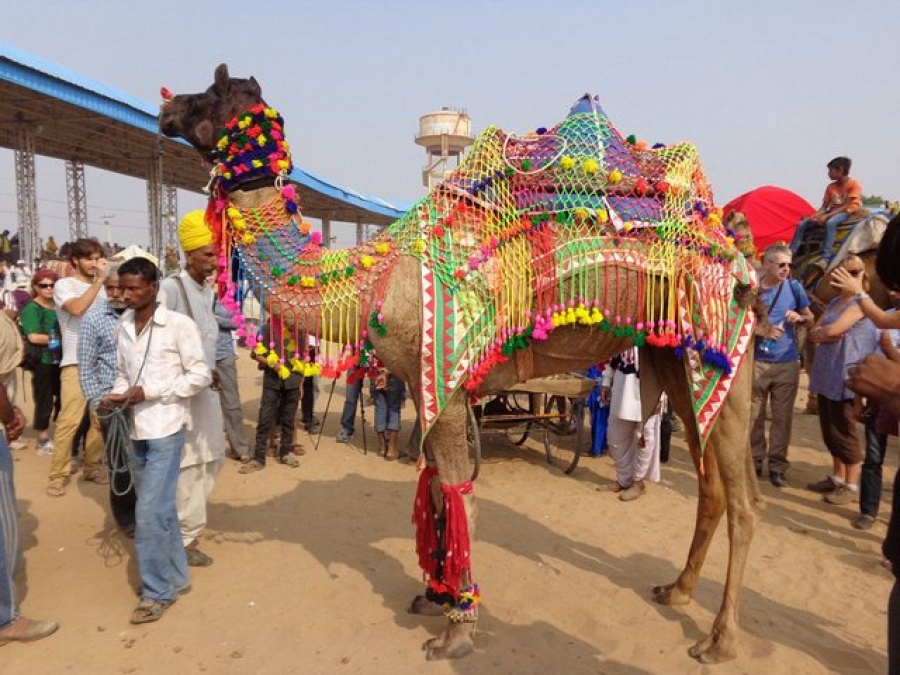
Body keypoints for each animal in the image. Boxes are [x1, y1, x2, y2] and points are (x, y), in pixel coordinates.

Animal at [160, 66, 760, 664]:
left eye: (212, 94)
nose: (166, 107)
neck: (375, 280)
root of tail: (742, 261)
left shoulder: (445, 383)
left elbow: (454, 491)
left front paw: (457, 632)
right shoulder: (422, 382)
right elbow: (432, 487)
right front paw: (433, 596)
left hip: (721, 352)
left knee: (743, 503)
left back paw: (720, 640)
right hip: (682, 361)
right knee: (714, 487)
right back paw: (676, 591)